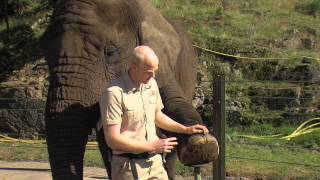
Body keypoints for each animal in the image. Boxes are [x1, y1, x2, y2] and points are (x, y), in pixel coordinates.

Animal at [40, 0, 218, 179]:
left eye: (110, 52)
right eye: (46, 57)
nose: (202, 135)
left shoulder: (164, 62)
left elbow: (173, 104)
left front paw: (202, 142)